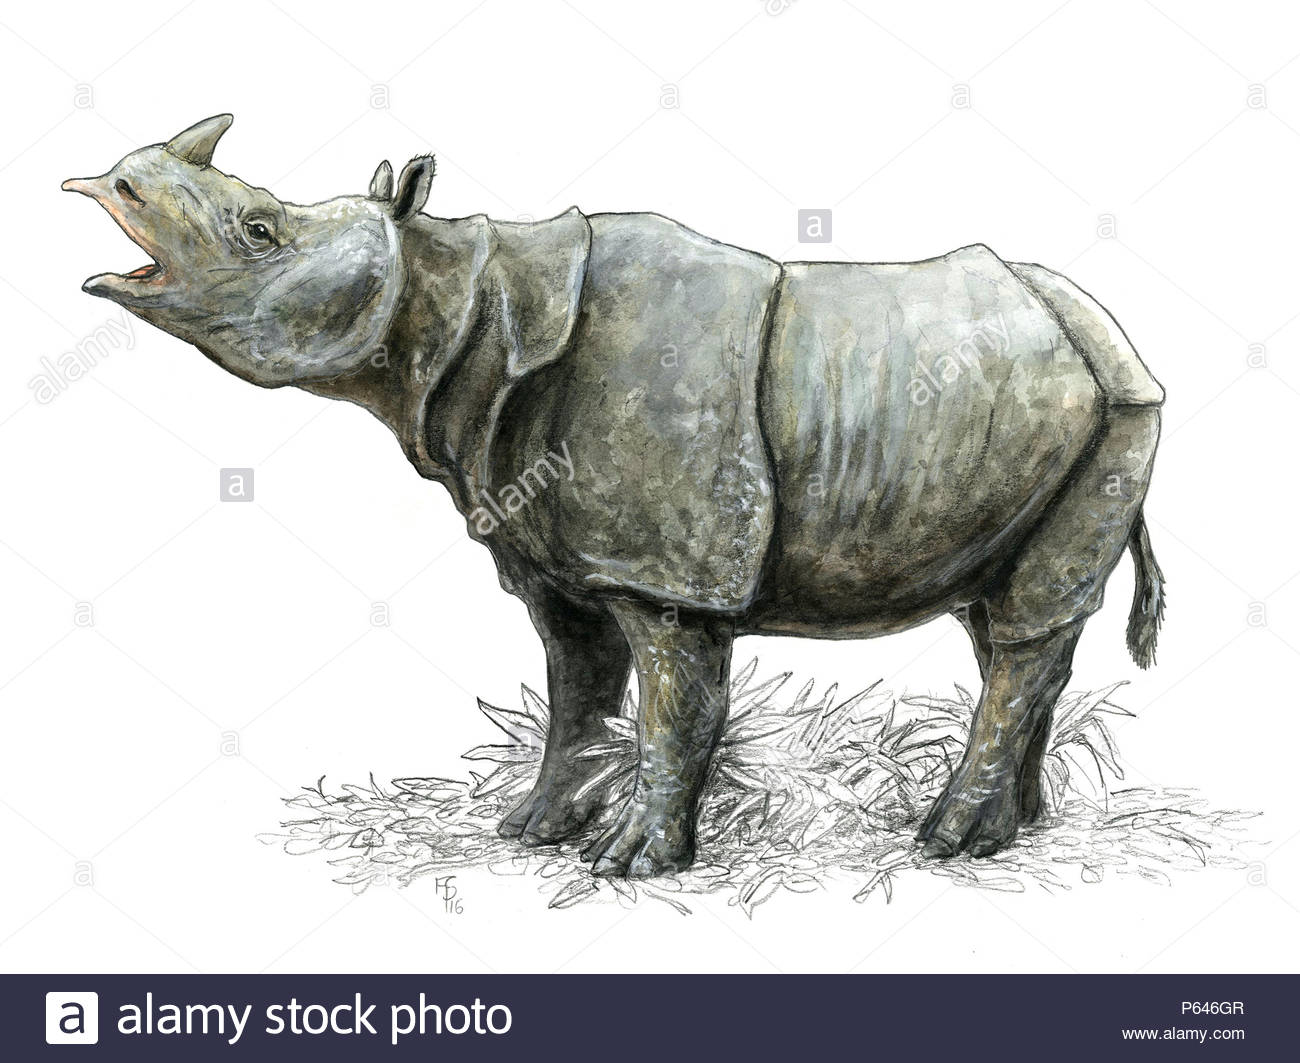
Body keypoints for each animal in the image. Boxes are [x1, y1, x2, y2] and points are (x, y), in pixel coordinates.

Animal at [64, 115, 1166, 878]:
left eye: (259, 228)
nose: (109, 180)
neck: (464, 303)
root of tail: (1102, 330)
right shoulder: (551, 546)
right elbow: (578, 687)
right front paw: (532, 830)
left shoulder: (666, 569)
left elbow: (676, 705)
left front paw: (630, 864)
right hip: (1056, 410)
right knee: (1007, 618)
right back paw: (1013, 829)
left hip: (1117, 409)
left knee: (1022, 626)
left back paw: (946, 840)